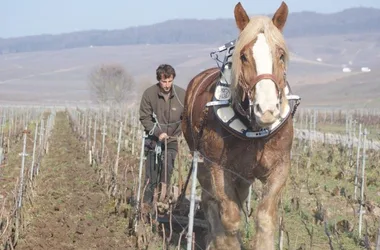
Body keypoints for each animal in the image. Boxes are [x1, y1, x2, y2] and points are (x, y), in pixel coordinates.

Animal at [181, 1, 300, 250]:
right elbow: (230, 217)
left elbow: (265, 217)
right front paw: (224, 241)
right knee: (209, 201)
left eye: (281, 55)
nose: (267, 110)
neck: (253, 130)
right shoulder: (218, 167)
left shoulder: (280, 167)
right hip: (202, 161)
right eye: (243, 56)